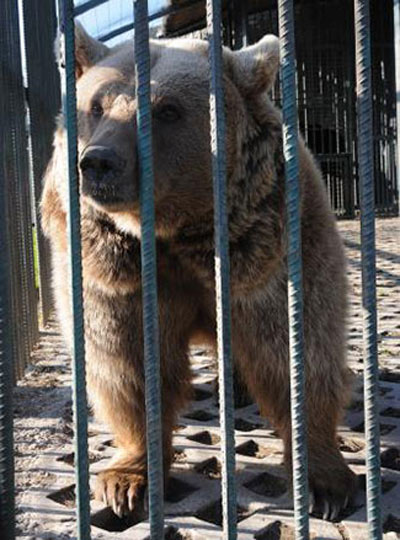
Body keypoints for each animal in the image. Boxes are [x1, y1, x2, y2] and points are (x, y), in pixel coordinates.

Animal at [41, 23, 356, 520]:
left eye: (167, 110)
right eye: (96, 105)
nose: (99, 161)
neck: (176, 234)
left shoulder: (267, 254)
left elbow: (295, 350)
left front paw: (325, 483)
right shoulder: (117, 275)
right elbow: (127, 363)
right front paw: (126, 482)